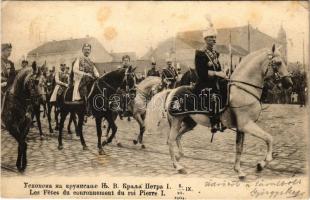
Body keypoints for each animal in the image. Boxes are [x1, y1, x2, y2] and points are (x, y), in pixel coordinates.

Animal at [145, 45, 294, 180]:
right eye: (278, 63)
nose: (289, 83)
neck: (244, 90)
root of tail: (172, 91)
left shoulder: (241, 128)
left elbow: (239, 148)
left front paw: (239, 171)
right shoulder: (246, 125)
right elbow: (269, 138)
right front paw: (260, 165)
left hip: (189, 123)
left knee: (177, 137)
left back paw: (179, 156)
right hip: (176, 120)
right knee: (170, 140)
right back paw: (178, 166)